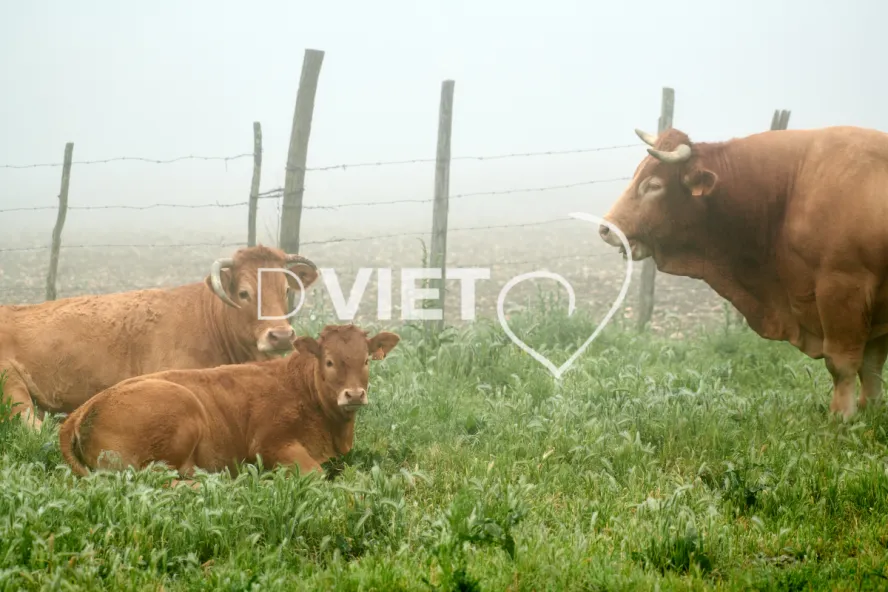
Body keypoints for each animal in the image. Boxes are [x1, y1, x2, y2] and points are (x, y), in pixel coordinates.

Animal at [57, 324, 400, 482]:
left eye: (366, 360)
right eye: (329, 362)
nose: (354, 394)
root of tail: (84, 409)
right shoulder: (269, 445)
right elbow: (315, 473)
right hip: (180, 414)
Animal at [598, 125, 888, 419]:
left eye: (654, 185)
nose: (606, 228)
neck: (791, 189)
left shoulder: (842, 290)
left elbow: (842, 363)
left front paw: (842, 416)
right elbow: (872, 366)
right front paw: (871, 410)